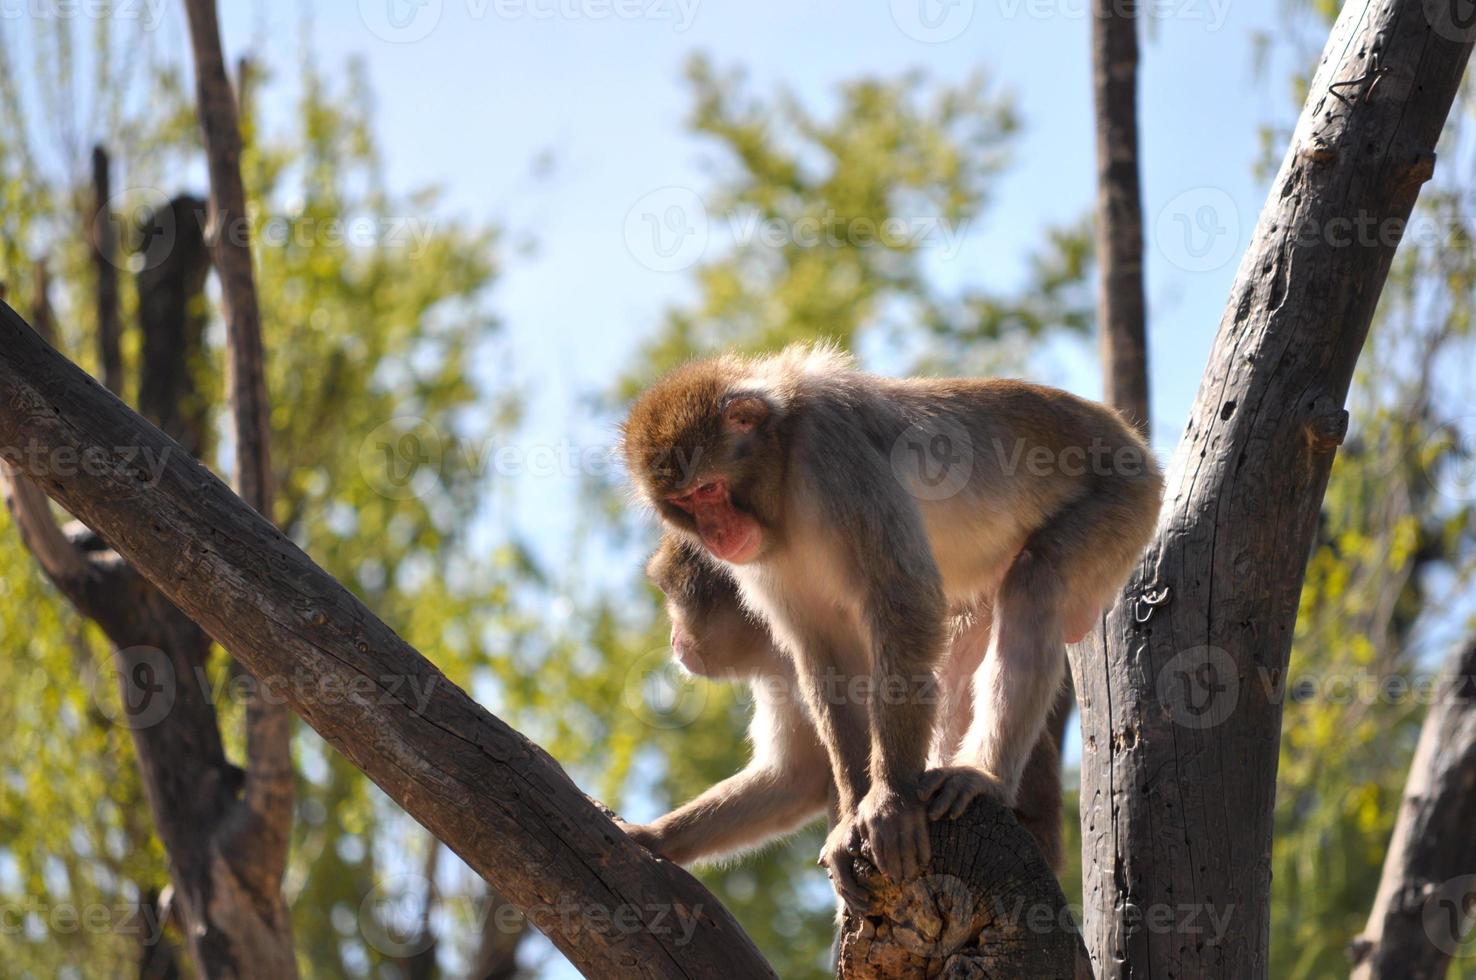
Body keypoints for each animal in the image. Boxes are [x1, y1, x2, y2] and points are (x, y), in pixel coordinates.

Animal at [616, 342, 1157, 903]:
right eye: (684, 503)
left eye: (709, 489)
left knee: (1037, 577)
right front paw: (851, 817)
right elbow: (822, 654)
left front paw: (891, 800)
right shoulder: (768, 558)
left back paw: (982, 773)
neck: (783, 466)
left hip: (1123, 499)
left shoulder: (834, 455)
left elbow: (903, 602)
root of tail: (1128, 435)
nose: (717, 534)